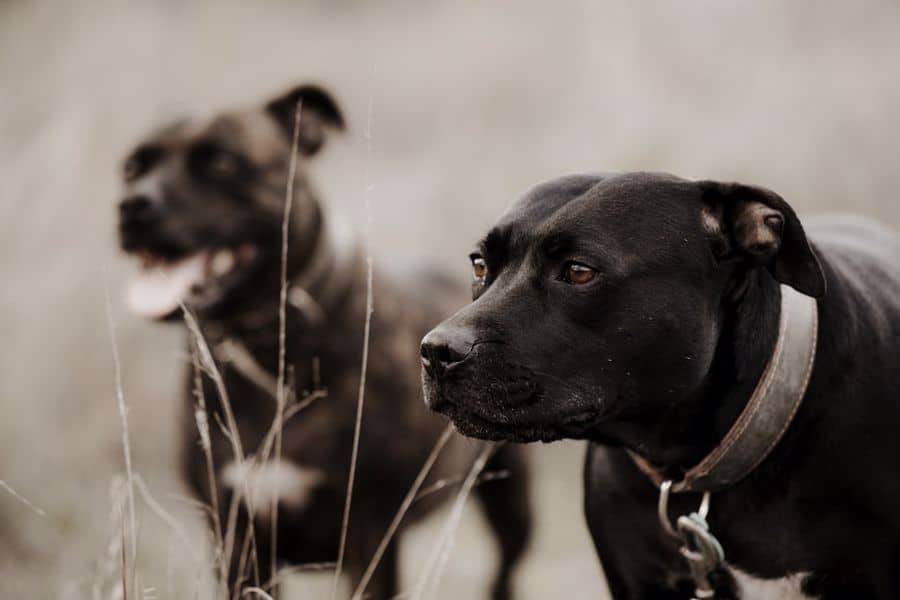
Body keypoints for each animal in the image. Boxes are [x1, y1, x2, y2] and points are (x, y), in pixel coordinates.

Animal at [116, 85, 532, 600]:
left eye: (222, 163)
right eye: (131, 167)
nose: (132, 205)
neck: (271, 350)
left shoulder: (367, 536)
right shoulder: (238, 540)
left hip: (511, 500)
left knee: (506, 566)